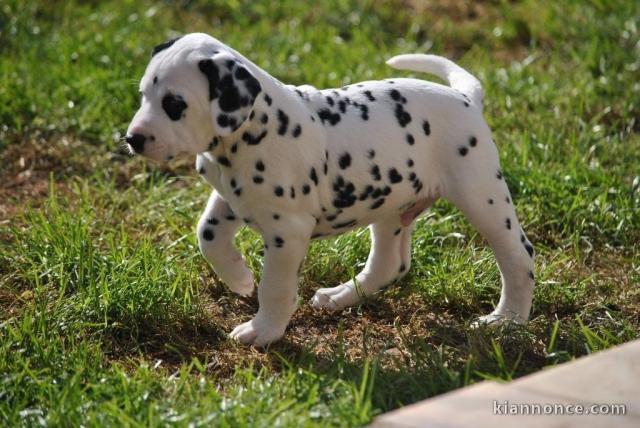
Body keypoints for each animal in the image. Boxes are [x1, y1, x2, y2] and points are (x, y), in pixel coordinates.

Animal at [125, 34, 536, 348]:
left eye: (174, 104)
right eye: (143, 95)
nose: (132, 138)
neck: (255, 129)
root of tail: (466, 99)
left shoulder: (287, 234)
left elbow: (274, 288)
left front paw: (263, 330)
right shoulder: (229, 198)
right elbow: (207, 235)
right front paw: (239, 279)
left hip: (481, 196)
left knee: (519, 256)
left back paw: (506, 319)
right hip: (390, 206)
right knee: (390, 264)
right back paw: (340, 296)